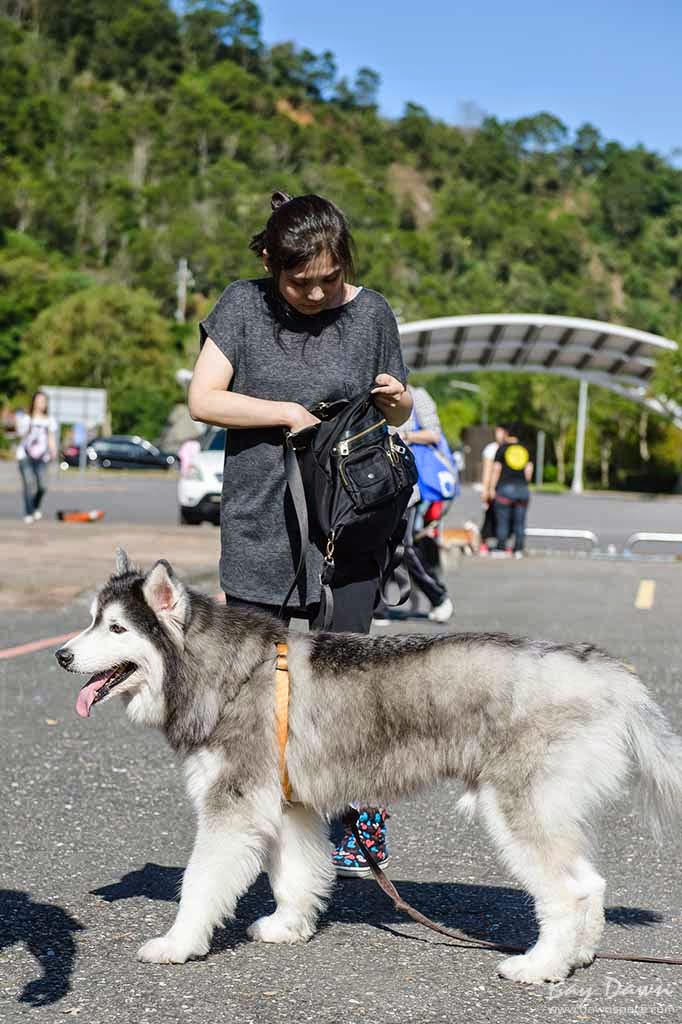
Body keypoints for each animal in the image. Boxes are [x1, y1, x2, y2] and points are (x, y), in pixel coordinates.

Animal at [55, 552, 679, 983]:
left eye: (117, 629)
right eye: (90, 621)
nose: (61, 655)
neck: (225, 671)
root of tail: (606, 670)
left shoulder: (233, 805)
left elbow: (199, 883)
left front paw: (178, 943)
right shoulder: (288, 804)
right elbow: (295, 874)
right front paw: (288, 926)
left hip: (518, 807)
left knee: (569, 890)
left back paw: (541, 965)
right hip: (549, 808)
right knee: (592, 883)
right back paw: (580, 955)